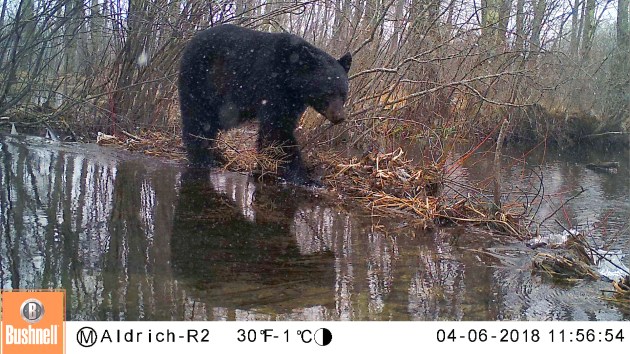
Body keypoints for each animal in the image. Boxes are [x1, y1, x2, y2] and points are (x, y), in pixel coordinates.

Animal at [180, 24, 354, 185]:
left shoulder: (294, 100)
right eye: (328, 92)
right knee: (197, 117)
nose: (339, 117)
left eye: (343, 93)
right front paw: (303, 178)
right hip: (201, 80)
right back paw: (201, 157)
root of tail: (190, 43)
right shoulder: (273, 84)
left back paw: (216, 155)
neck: (291, 76)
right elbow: (277, 129)